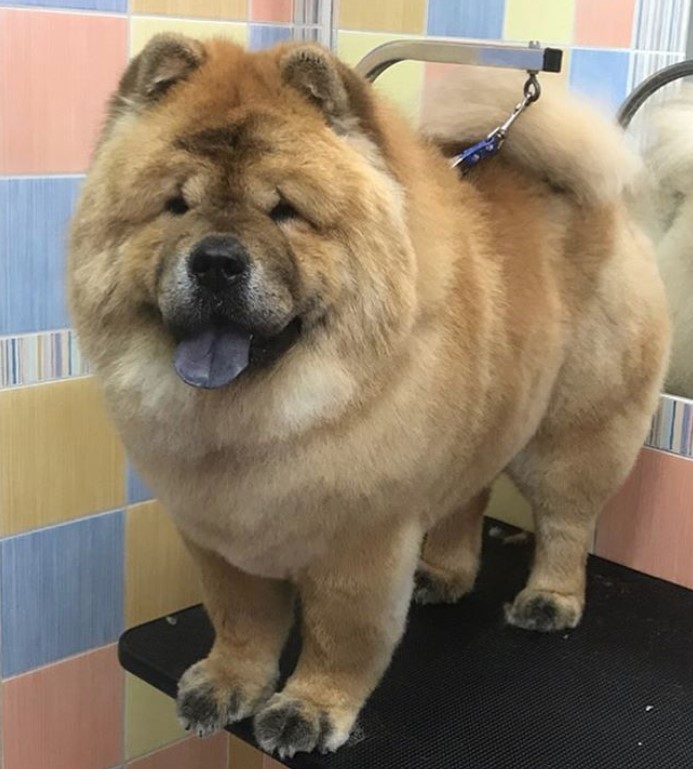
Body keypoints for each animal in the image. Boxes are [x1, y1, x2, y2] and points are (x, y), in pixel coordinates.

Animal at [67, 37, 668, 756]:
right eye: (176, 206)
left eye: (284, 211)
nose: (215, 260)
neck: (261, 415)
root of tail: (601, 201)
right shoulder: (217, 539)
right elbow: (240, 621)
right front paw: (226, 683)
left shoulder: (359, 543)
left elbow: (340, 638)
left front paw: (309, 708)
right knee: (468, 496)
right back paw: (443, 573)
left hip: (571, 434)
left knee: (566, 519)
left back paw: (548, 600)